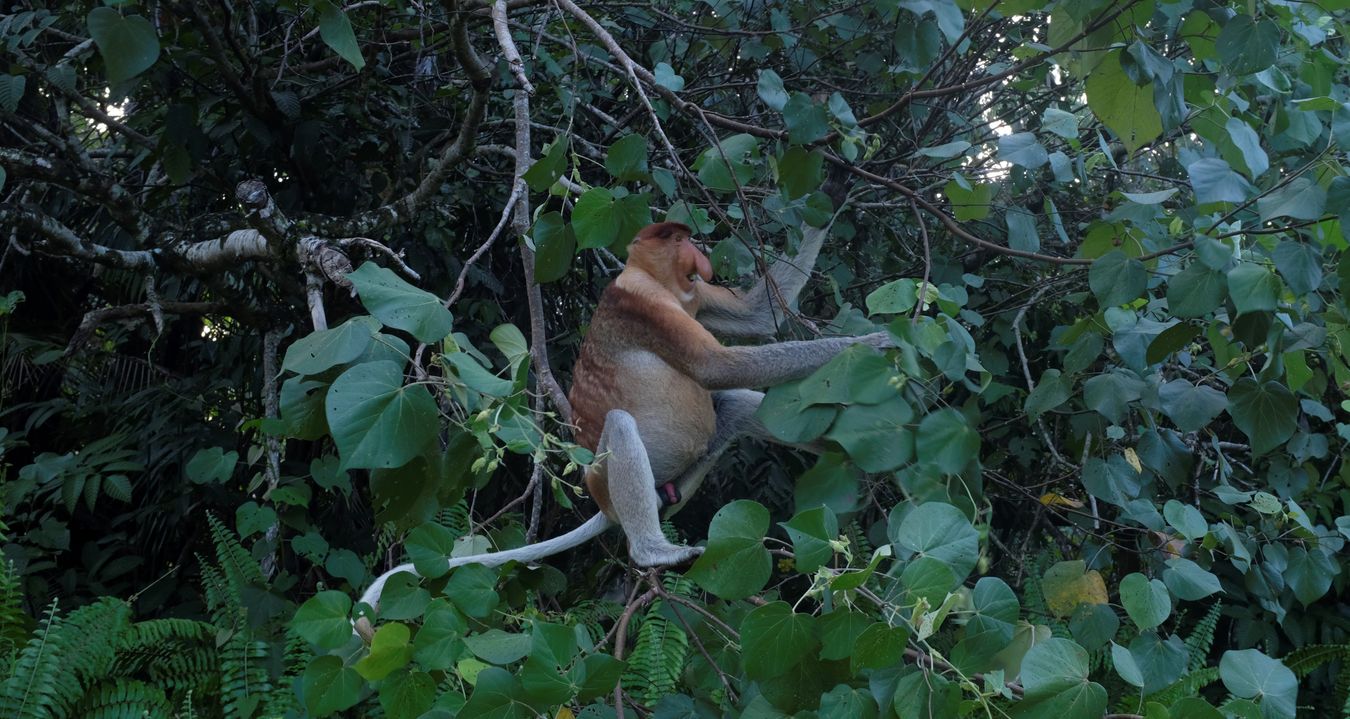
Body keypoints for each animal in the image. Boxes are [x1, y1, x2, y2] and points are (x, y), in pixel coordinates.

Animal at [356, 218, 885, 634]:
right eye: (678, 239)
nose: (702, 254)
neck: (654, 281)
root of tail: (606, 507)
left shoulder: (693, 296)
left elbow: (757, 317)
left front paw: (833, 182)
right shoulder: (643, 305)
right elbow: (718, 365)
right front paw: (873, 343)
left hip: (685, 476)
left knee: (733, 406)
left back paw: (854, 464)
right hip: (606, 478)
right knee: (623, 422)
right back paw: (656, 552)